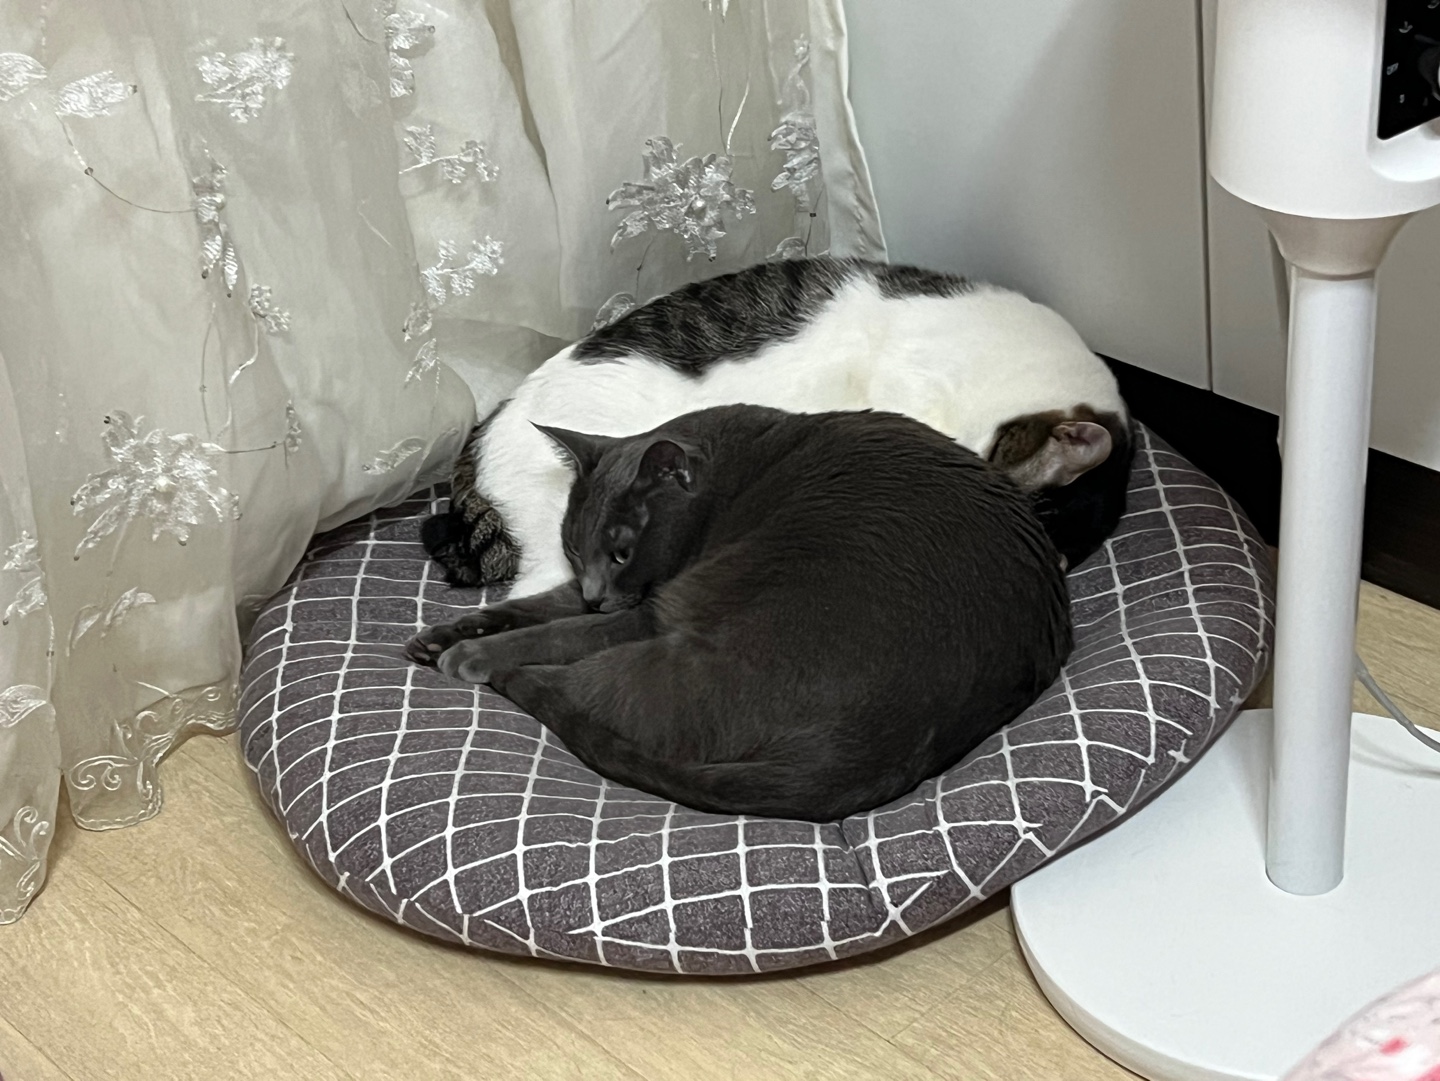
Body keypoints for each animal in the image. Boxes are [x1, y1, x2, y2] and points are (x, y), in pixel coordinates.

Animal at [408, 405, 1072, 821]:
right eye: (573, 547)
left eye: (621, 550)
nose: (597, 586)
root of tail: (871, 755)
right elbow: (541, 605)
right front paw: (446, 632)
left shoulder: (651, 603)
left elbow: (561, 629)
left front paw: (469, 650)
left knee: (572, 683)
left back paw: (501, 670)